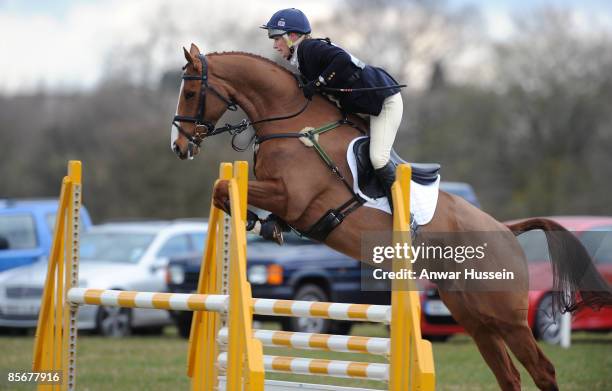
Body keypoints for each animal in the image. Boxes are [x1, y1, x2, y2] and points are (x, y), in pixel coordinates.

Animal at [170, 43, 608, 391]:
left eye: (190, 92)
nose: (178, 146)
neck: (293, 126)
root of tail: (506, 229)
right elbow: (223, 190)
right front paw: (263, 225)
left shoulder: (294, 196)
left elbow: (224, 188)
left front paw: (258, 222)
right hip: (474, 316)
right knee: (509, 375)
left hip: (507, 316)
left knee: (543, 370)